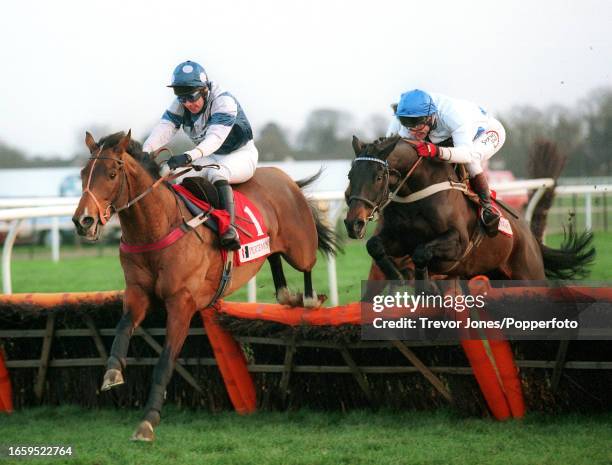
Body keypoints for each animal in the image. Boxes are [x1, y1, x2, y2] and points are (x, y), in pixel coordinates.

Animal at [73, 130, 340, 438]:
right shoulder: (137, 294)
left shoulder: (182, 303)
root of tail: (285, 178)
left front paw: (148, 420)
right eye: (83, 173)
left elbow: (165, 362)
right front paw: (112, 373)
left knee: (307, 264)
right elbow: (121, 329)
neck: (157, 227)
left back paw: (307, 299)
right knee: (273, 257)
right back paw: (287, 295)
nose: (83, 220)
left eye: (112, 174)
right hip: (273, 245)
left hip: (299, 246)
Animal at [344, 135, 592, 286]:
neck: (416, 193)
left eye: (378, 177)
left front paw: (425, 286)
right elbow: (374, 245)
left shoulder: (458, 243)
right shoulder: (400, 239)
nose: (352, 223)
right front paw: (396, 275)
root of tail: (530, 236)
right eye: (350, 175)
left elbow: (422, 252)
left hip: (528, 274)